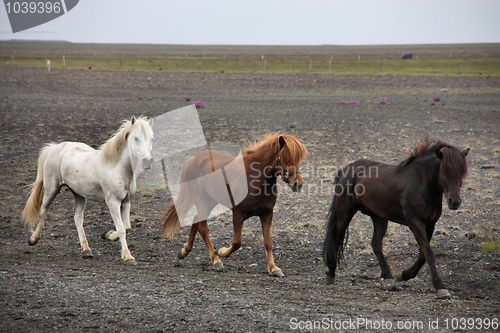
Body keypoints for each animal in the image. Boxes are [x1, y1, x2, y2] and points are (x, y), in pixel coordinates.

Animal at [22, 115, 154, 264]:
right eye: (136, 138)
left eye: (151, 138)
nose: (147, 162)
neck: (116, 167)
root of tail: (55, 147)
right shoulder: (113, 203)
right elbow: (121, 229)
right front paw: (128, 256)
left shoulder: (126, 202)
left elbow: (127, 227)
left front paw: (107, 235)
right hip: (51, 189)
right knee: (43, 211)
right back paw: (33, 239)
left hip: (79, 194)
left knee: (77, 218)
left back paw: (86, 250)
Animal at [162, 132, 306, 274]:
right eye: (285, 158)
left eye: (299, 159)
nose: (297, 184)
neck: (256, 178)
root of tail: (195, 160)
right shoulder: (238, 213)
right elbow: (237, 242)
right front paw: (221, 252)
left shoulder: (267, 214)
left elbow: (268, 242)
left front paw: (273, 268)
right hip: (201, 200)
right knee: (202, 228)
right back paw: (216, 260)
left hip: (210, 201)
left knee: (196, 221)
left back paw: (184, 251)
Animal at [324, 136, 468, 296]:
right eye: (445, 171)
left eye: (462, 173)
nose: (454, 202)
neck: (421, 182)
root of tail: (345, 169)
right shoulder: (415, 223)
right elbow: (429, 254)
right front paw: (440, 287)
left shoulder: (430, 224)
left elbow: (423, 254)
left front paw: (404, 275)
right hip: (345, 212)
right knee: (337, 238)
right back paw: (331, 273)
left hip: (379, 217)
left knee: (376, 244)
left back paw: (388, 277)